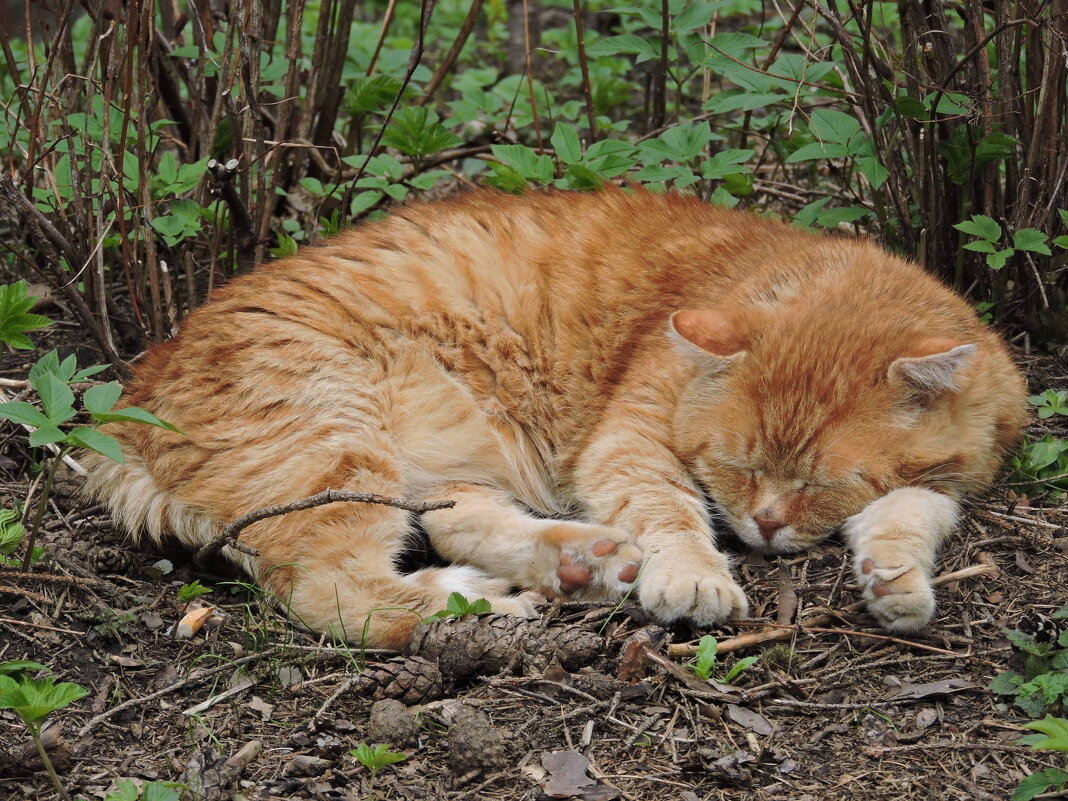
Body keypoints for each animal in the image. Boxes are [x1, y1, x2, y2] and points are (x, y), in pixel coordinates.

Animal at [83, 191, 1025, 649]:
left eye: (822, 481)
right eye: (736, 463)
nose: (760, 527)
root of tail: (125, 400)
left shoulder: (956, 475)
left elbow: (910, 510)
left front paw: (895, 581)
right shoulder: (628, 438)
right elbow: (667, 506)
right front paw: (695, 575)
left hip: (442, 457)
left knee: (454, 522)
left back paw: (579, 562)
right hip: (335, 448)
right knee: (335, 589)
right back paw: (485, 602)